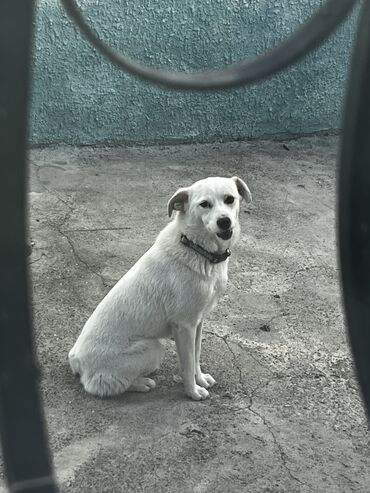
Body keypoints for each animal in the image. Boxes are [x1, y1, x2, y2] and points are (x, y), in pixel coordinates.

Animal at [68, 176, 251, 400]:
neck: (196, 248)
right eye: (204, 204)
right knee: (101, 385)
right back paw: (142, 383)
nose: (224, 221)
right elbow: (188, 363)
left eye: (229, 199)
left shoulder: (198, 322)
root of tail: (75, 359)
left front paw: (200, 379)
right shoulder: (185, 325)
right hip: (153, 348)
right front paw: (192, 391)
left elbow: (196, 356)